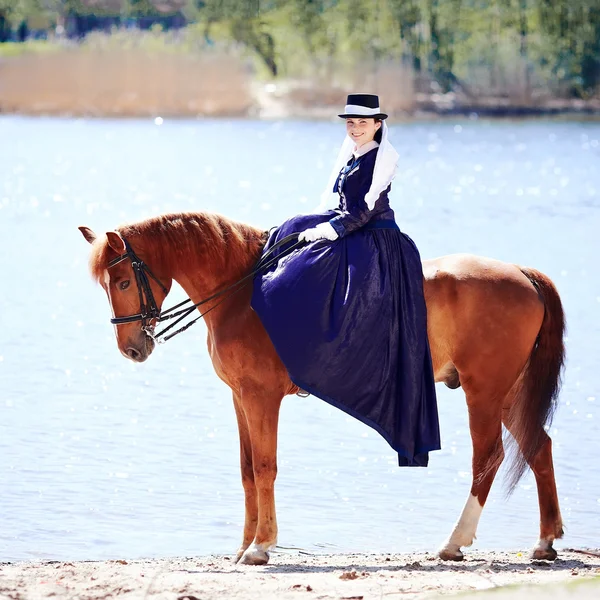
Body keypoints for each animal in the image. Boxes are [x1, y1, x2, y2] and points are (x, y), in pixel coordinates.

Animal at [77, 212, 564, 568]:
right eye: (107, 286)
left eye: (124, 282)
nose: (131, 348)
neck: (243, 293)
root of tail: (521, 273)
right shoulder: (239, 396)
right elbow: (246, 469)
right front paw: (243, 546)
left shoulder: (261, 397)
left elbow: (265, 467)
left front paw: (261, 546)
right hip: (508, 394)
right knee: (538, 447)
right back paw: (544, 542)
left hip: (484, 392)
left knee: (489, 457)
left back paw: (454, 542)